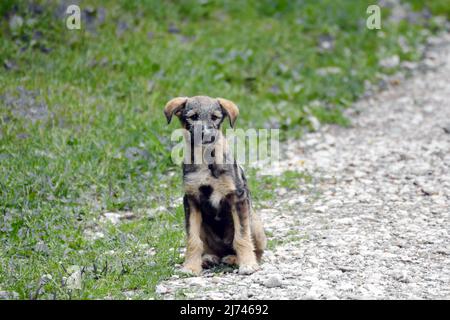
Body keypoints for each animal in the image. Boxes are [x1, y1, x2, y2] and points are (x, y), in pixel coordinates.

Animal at [163, 95, 266, 276]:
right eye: (193, 116)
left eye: (215, 117)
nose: (207, 135)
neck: (205, 160)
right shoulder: (191, 200)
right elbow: (192, 239)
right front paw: (191, 266)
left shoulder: (238, 198)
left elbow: (241, 236)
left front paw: (247, 263)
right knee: (209, 248)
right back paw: (207, 258)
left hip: (255, 222)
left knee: (254, 248)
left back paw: (235, 258)